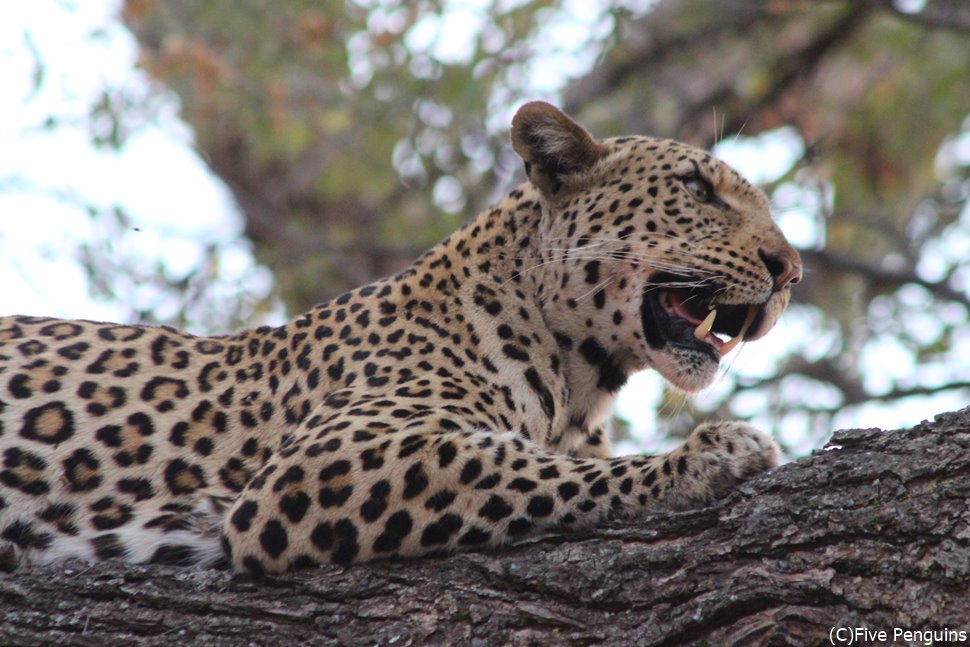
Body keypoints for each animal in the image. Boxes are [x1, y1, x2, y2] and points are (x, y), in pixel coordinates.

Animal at [0, 102, 796, 576]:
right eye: (696, 189)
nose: (790, 268)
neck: (581, 384)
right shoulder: (324, 461)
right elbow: (541, 471)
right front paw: (712, 454)